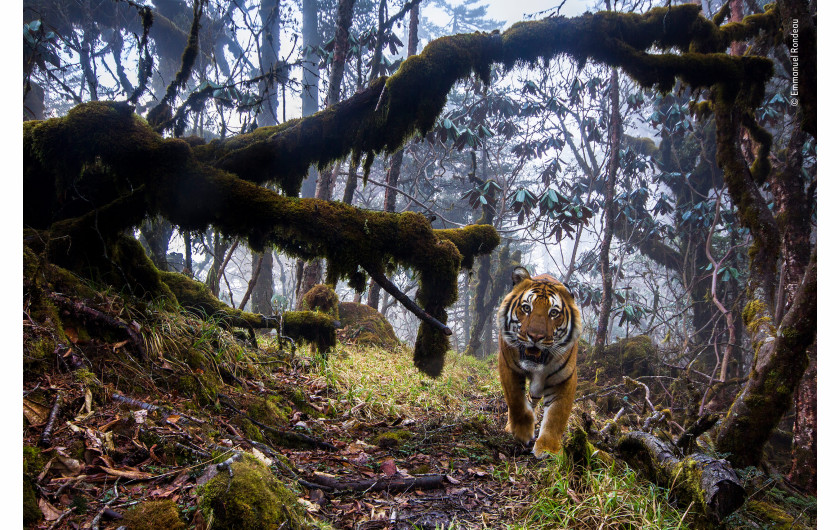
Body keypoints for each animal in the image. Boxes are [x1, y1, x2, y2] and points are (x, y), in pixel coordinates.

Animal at [496, 266, 580, 456]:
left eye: (554, 313)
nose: (535, 336)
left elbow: (557, 415)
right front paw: (522, 432)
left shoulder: (565, 378)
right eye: (526, 308)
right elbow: (516, 401)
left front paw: (548, 448)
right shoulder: (507, 366)